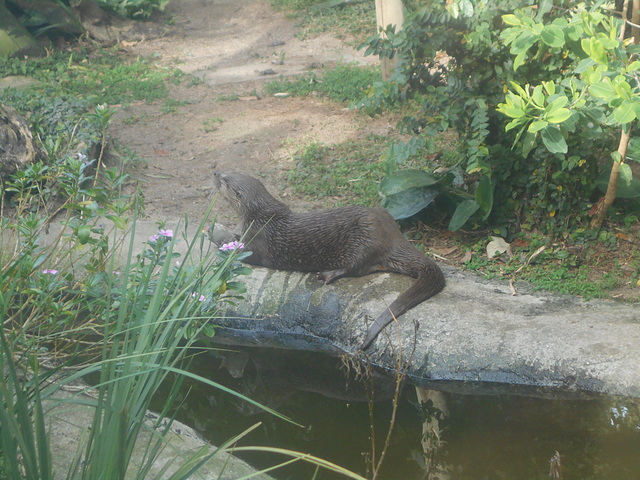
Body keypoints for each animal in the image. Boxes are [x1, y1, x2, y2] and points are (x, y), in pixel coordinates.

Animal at [215, 172, 444, 348]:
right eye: (230, 171)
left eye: (226, 180)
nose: (216, 173)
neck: (260, 217)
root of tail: (393, 236)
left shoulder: (258, 241)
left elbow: (245, 254)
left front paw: (221, 242)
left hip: (364, 245)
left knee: (356, 268)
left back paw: (329, 274)